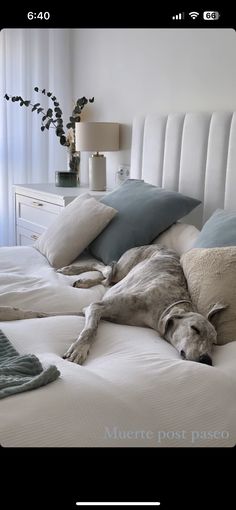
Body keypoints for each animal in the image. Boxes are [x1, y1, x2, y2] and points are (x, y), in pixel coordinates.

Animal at [0, 245, 225, 364]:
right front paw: (79, 349)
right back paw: (74, 272)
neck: (162, 307)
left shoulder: (88, 309)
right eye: (194, 329)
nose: (207, 360)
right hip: (123, 269)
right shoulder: (96, 307)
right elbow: (89, 330)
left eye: (214, 342)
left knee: (105, 275)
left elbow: (42, 313)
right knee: (106, 268)